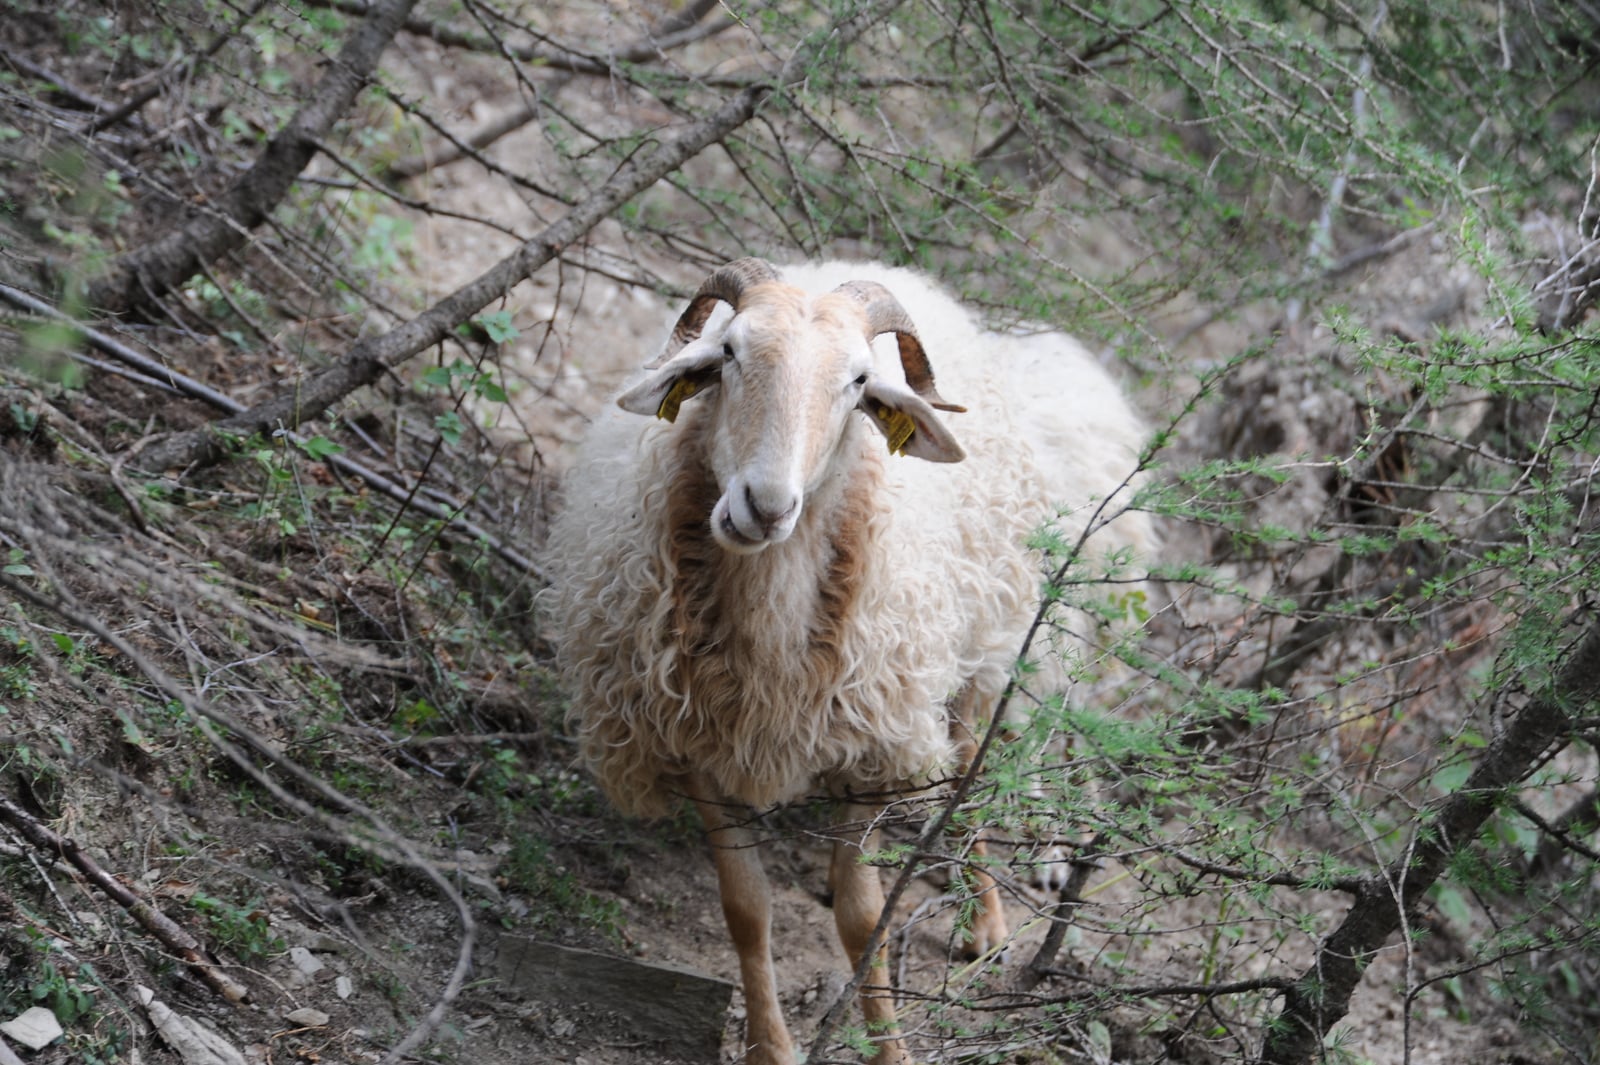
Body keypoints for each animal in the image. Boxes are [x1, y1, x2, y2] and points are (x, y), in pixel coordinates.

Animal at [544, 258, 1154, 1065]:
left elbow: (864, 920)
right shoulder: (691, 741)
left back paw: (984, 922)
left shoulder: (871, 740)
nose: (765, 505)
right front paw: (770, 1046)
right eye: (728, 351)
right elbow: (746, 907)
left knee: (970, 768)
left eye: (860, 381)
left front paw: (888, 1045)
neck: (767, 633)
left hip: (981, 644)